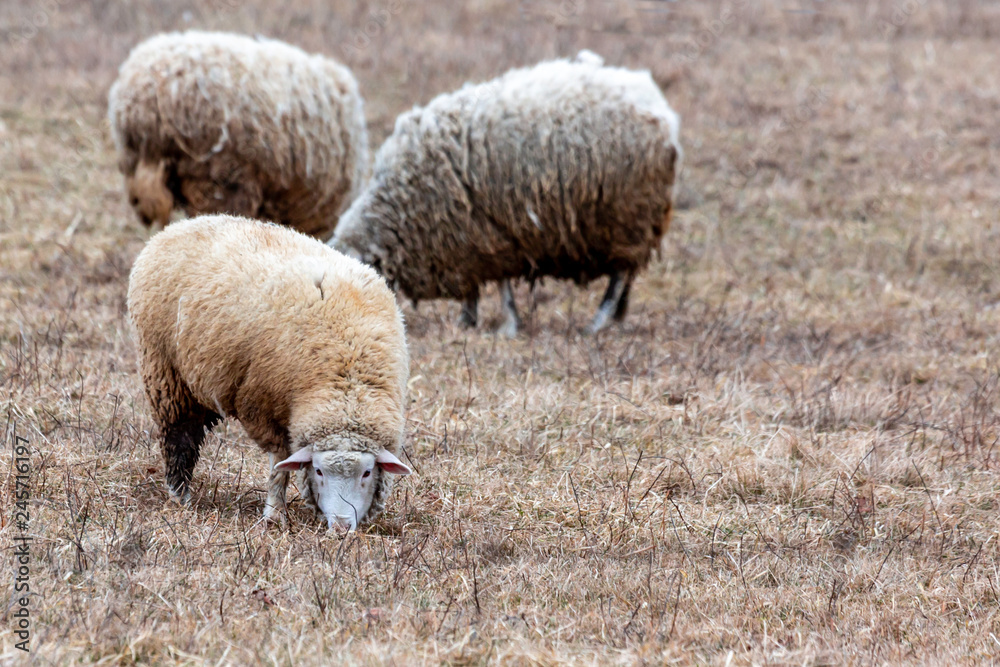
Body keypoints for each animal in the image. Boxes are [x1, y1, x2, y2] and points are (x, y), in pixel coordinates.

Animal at [127, 215, 412, 531]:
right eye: (318, 471)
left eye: (366, 472)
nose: (340, 525)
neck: (347, 379)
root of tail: (179, 226)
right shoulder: (262, 406)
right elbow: (280, 461)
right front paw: (275, 512)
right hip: (165, 372)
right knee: (180, 438)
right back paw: (180, 495)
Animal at [331, 50, 681, 335]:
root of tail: (658, 104)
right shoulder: (473, 242)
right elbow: (477, 289)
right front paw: (469, 321)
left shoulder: (488, 235)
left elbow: (499, 288)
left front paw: (504, 324)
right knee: (625, 277)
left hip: (628, 218)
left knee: (619, 276)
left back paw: (597, 322)